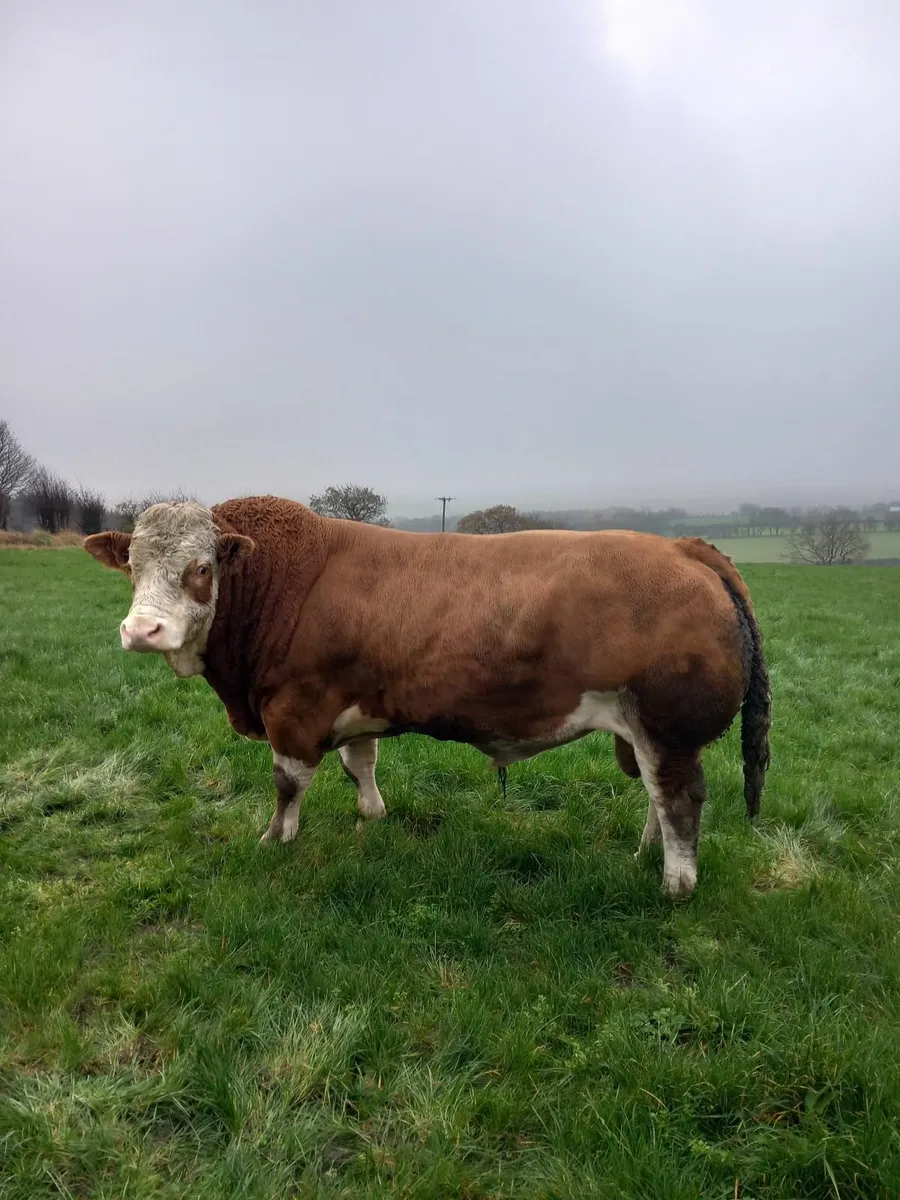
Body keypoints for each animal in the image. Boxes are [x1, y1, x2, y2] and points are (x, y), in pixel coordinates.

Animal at [83, 496, 770, 897]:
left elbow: (288, 784)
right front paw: (372, 815)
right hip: (648, 732)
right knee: (657, 798)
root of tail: (681, 547)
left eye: (201, 568)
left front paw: (276, 839)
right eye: (134, 566)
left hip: (668, 728)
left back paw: (675, 884)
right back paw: (643, 855)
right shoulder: (351, 703)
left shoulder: (294, 709)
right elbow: (359, 762)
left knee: (679, 800)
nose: (141, 630)